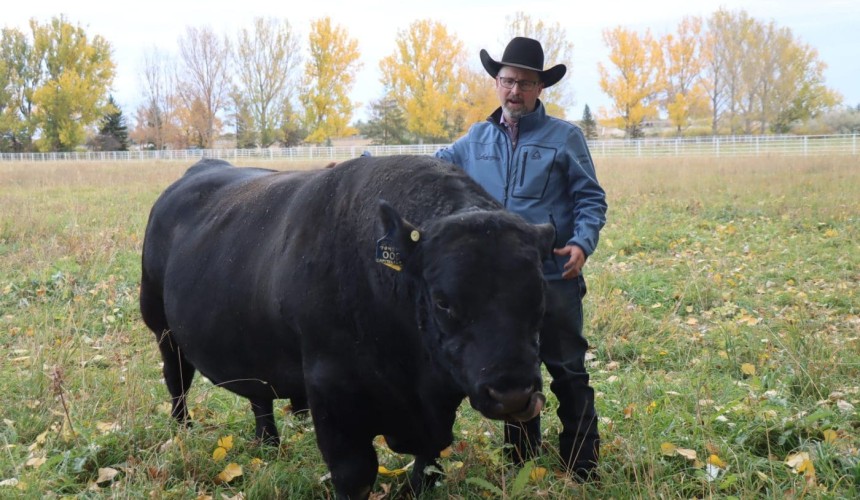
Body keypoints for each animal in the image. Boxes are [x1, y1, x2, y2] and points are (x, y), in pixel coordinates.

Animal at [140, 155, 556, 499]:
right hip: (162, 329)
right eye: (443, 301)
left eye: (541, 294)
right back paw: (183, 430)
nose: (513, 394)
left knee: (259, 395)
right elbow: (355, 474)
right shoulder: (332, 394)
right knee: (177, 379)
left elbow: (429, 465)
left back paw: (268, 444)